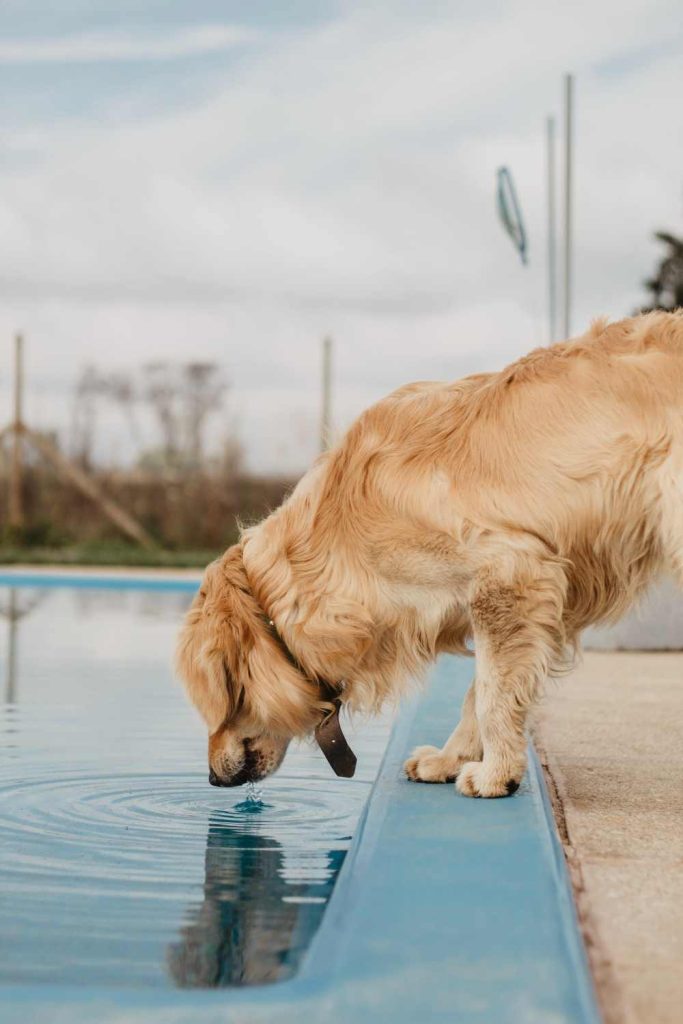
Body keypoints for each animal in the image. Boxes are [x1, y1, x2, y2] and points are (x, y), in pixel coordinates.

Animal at [178, 311, 683, 798]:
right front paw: (450, 759)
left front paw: (497, 773)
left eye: (214, 703)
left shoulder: (510, 576)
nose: (212, 780)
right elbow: (477, 692)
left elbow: (493, 693)